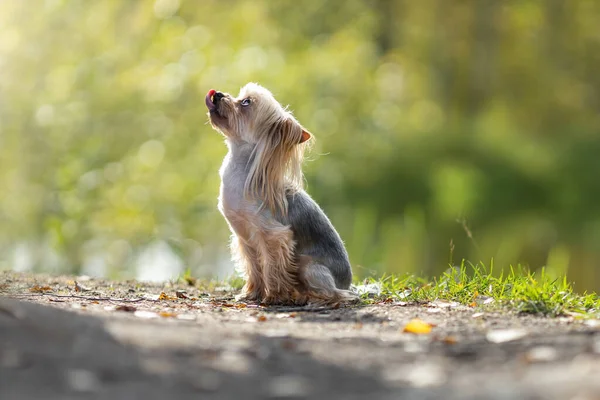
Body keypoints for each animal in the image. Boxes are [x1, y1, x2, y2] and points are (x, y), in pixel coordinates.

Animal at [207, 83, 352, 304]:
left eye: (246, 102)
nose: (218, 94)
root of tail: (347, 282)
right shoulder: (245, 239)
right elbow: (254, 267)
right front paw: (251, 293)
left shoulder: (273, 235)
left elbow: (272, 267)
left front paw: (273, 296)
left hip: (309, 266)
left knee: (333, 293)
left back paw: (308, 297)